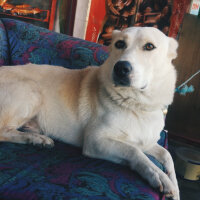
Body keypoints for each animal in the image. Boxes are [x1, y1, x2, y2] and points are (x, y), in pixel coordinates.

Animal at [0, 27, 180, 200]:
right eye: (119, 44)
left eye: (149, 46)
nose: (120, 68)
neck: (137, 104)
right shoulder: (95, 141)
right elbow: (134, 151)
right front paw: (158, 176)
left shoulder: (147, 142)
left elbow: (167, 155)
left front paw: (175, 188)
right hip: (31, 90)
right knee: (3, 132)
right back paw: (36, 139)